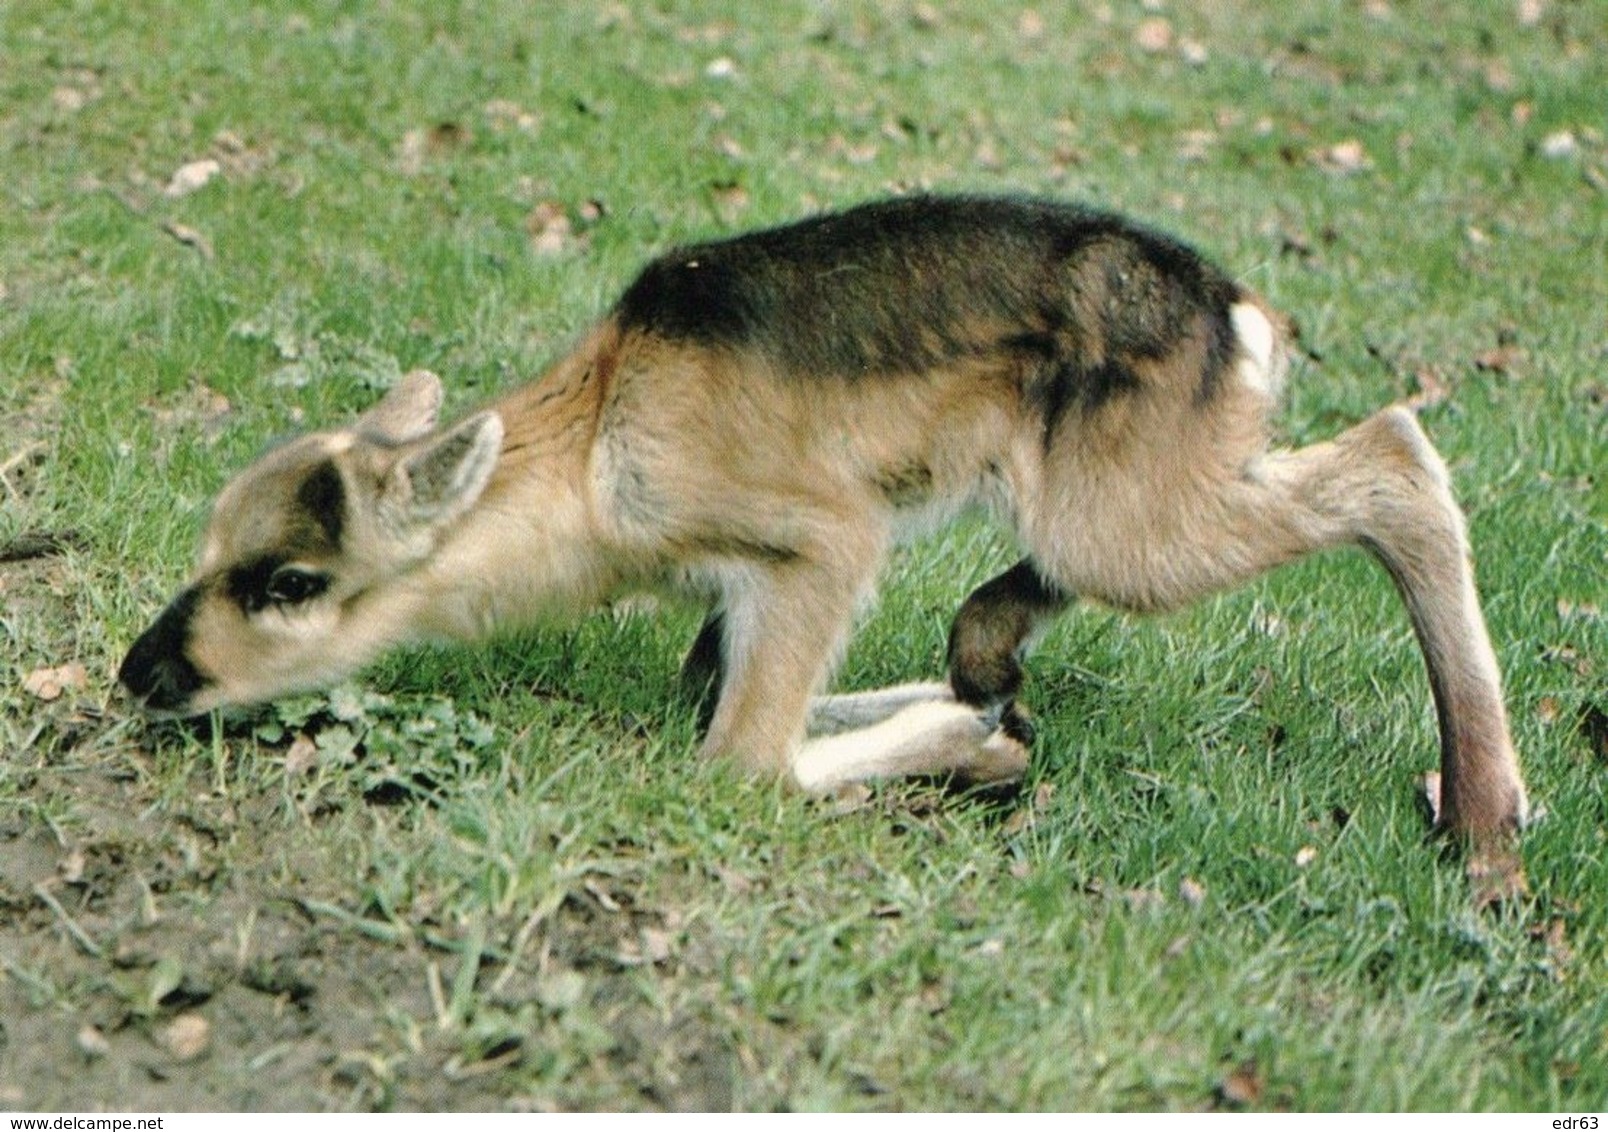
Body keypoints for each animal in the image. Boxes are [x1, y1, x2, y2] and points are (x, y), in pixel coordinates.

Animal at [118, 196, 1524, 842]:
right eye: (206, 544)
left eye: (292, 581)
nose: (141, 671)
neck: (597, 463)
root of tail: (1249, 322)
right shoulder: (740, 592)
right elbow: (723, 691)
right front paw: (989, 730)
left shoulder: (826, 536)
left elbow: (745, 756)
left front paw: (973, 747)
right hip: (1111, 495)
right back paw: (987, 651)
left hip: (1131, 526)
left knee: (1398, 458)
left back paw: (1487, 825)